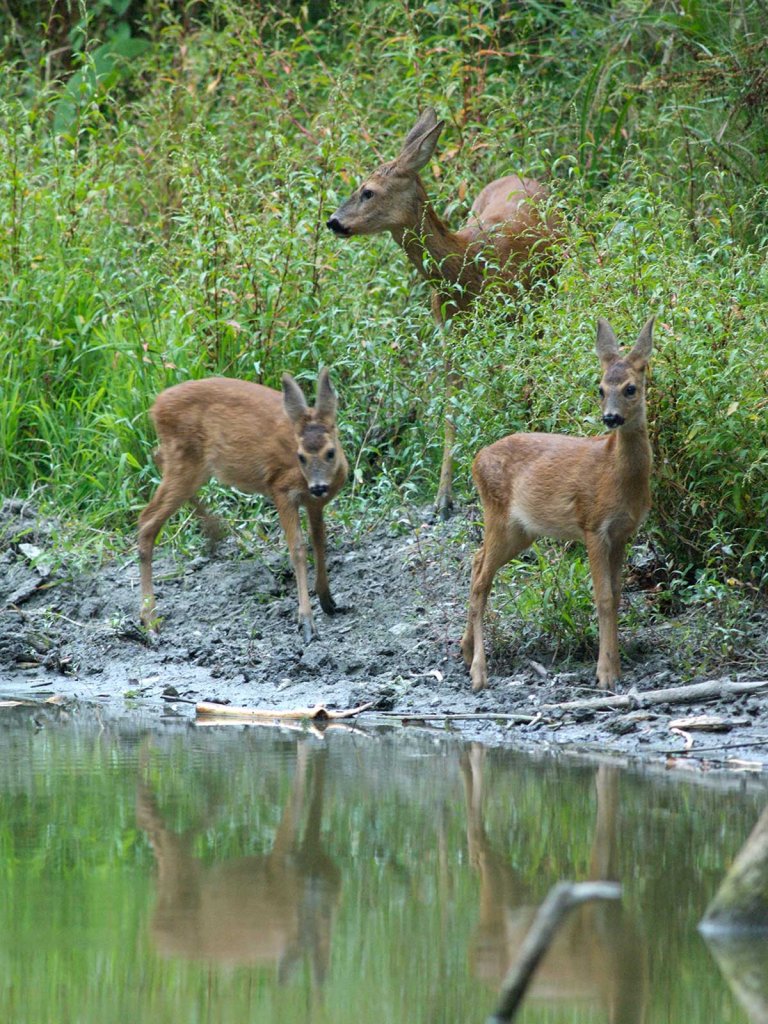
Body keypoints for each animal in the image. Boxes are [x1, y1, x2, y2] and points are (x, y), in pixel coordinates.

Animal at [138, 368, 348, 638]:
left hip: (191, 464)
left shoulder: (315, 504)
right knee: (146, 520)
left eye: (330, 452)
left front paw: (328, 600)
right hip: (185, 459)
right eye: (300, 456)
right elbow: (298, 549)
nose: (319, 486)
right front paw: (306, 621)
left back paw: (214, 532)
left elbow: (320, 542)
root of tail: (156, 406)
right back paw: (150, 619)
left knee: (156, 457)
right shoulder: (281, 489)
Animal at [327, 108, 561, 516]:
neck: (465, 270)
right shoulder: (448, 329)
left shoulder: (517, 312)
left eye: (368, 190)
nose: (333, 222)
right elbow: (451, 405)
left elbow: (523, 380)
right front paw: (443, 496)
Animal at [462, 315, 655, 692]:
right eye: (600, 388)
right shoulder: (593, 525)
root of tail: (476, 459)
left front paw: (617, 666)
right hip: (498, 516)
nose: (610, 418)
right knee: (481, 582)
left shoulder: (623, 533)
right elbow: (603, 597)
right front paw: (605, 673)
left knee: (476, 561)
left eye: (630, 388)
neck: (615, 473)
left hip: (521, 531)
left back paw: (464, 651)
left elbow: (617, 595)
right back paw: (479, 672)